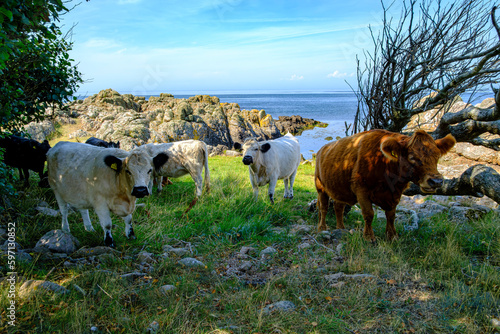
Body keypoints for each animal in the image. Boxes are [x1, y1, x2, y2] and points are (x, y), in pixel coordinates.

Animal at [316, 129, 458, 241]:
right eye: (412, 157)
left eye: (437, 156)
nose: (436, 181)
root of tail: (322, 149)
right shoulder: (361, 189)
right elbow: (369, 214)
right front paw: (369, 237)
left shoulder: (395, 193)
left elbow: (391, 215)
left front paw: (392, 236)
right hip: (320, 187)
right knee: (324, 207)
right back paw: (322, 227)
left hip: (339, 190)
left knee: (338, 207)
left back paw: (341, 228)